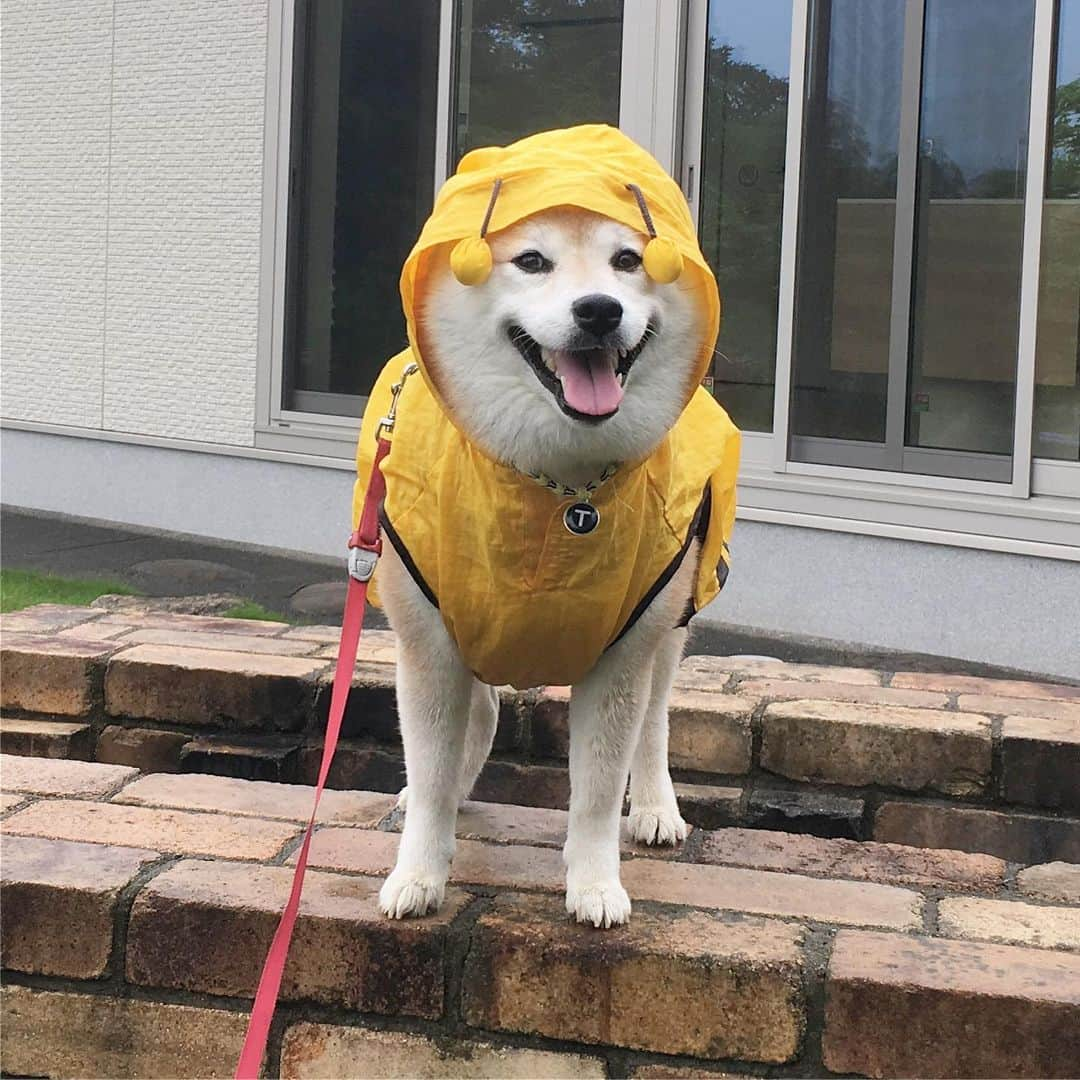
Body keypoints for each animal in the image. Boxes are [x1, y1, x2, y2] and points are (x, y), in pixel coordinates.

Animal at [354, 122, 743, 924]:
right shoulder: (429, 638)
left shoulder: (622, 652)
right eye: (531, 261)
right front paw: (420, 871)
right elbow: (432, 768)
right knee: (475, 719)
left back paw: (655, 808)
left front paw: (595, 884)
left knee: (656, 722)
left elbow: (596, 791)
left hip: (674, 617)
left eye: (629, 260)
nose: (599, 310)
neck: (553, 488)